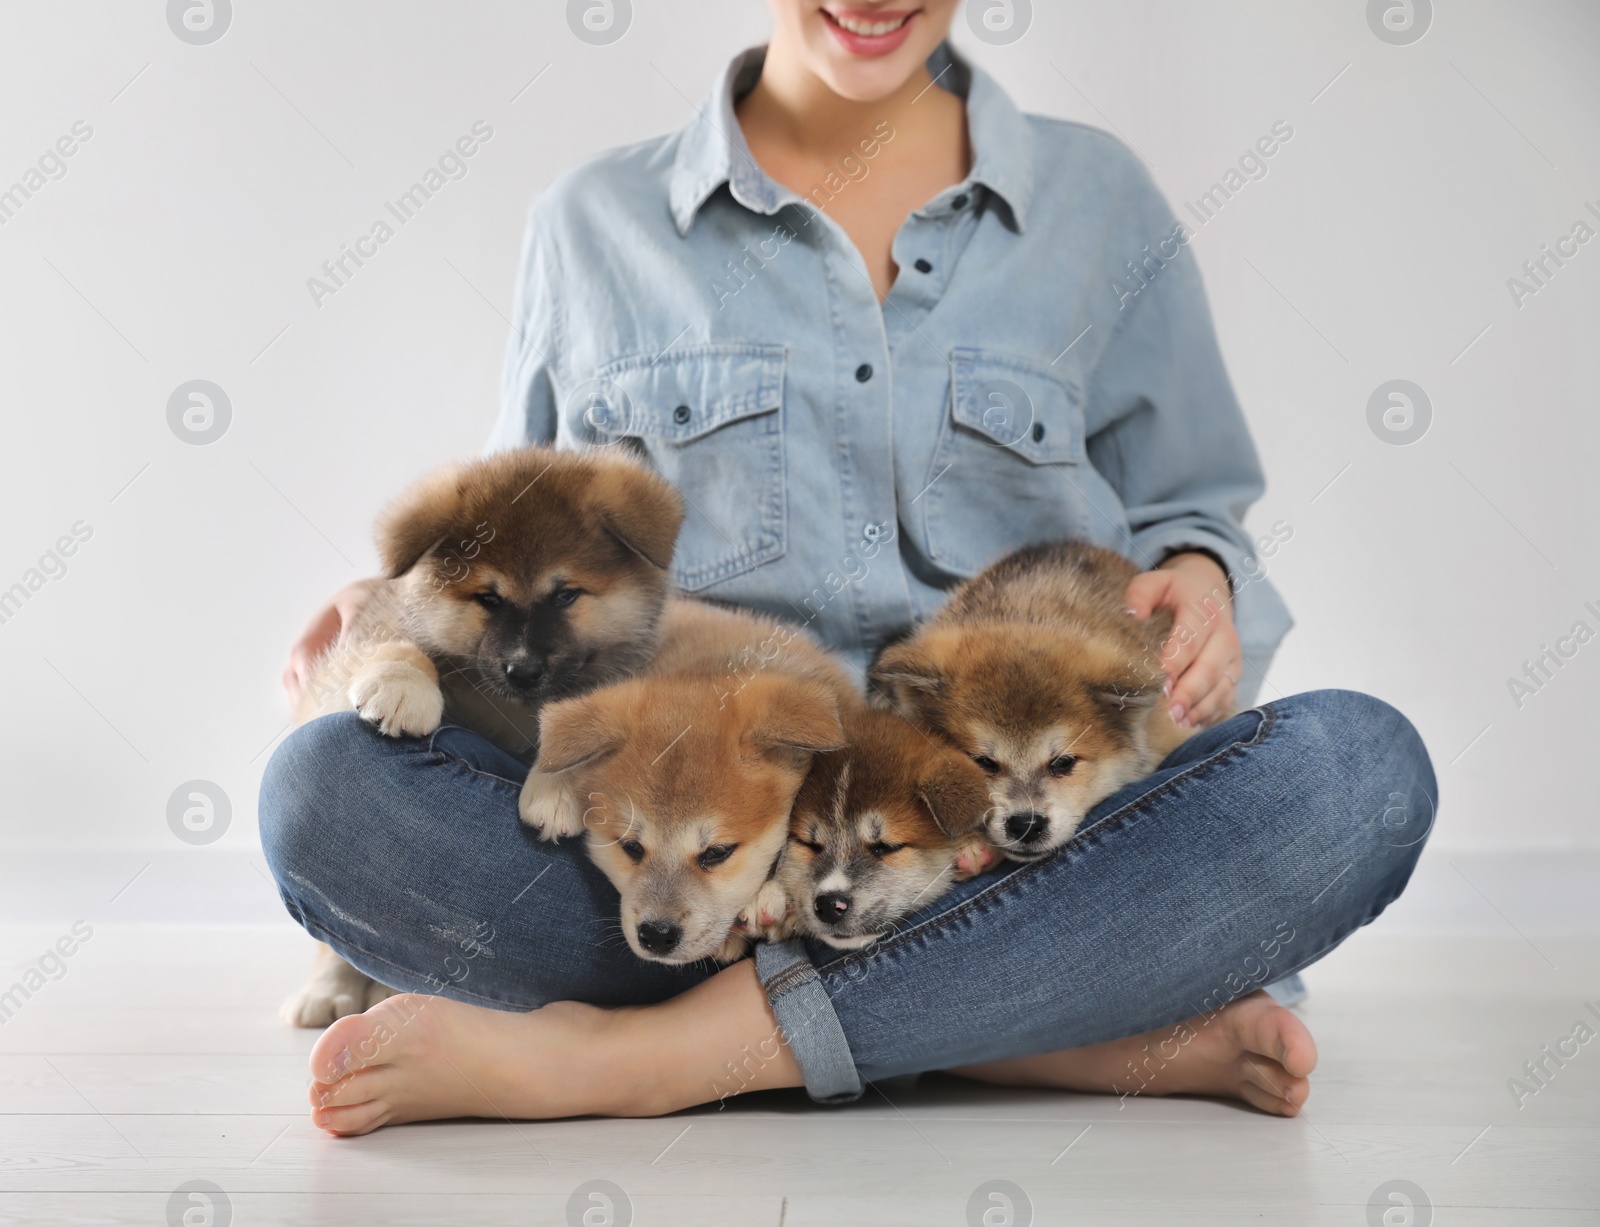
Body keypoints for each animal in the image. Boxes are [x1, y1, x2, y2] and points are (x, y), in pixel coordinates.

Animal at [281, 444, 681, 1023]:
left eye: (565, 595)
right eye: (488, 599)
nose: (523, 669)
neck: (507, 704)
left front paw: (556, 786)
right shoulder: (359, 649)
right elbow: (398, 640)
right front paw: (401, 683)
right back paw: (328, 990)